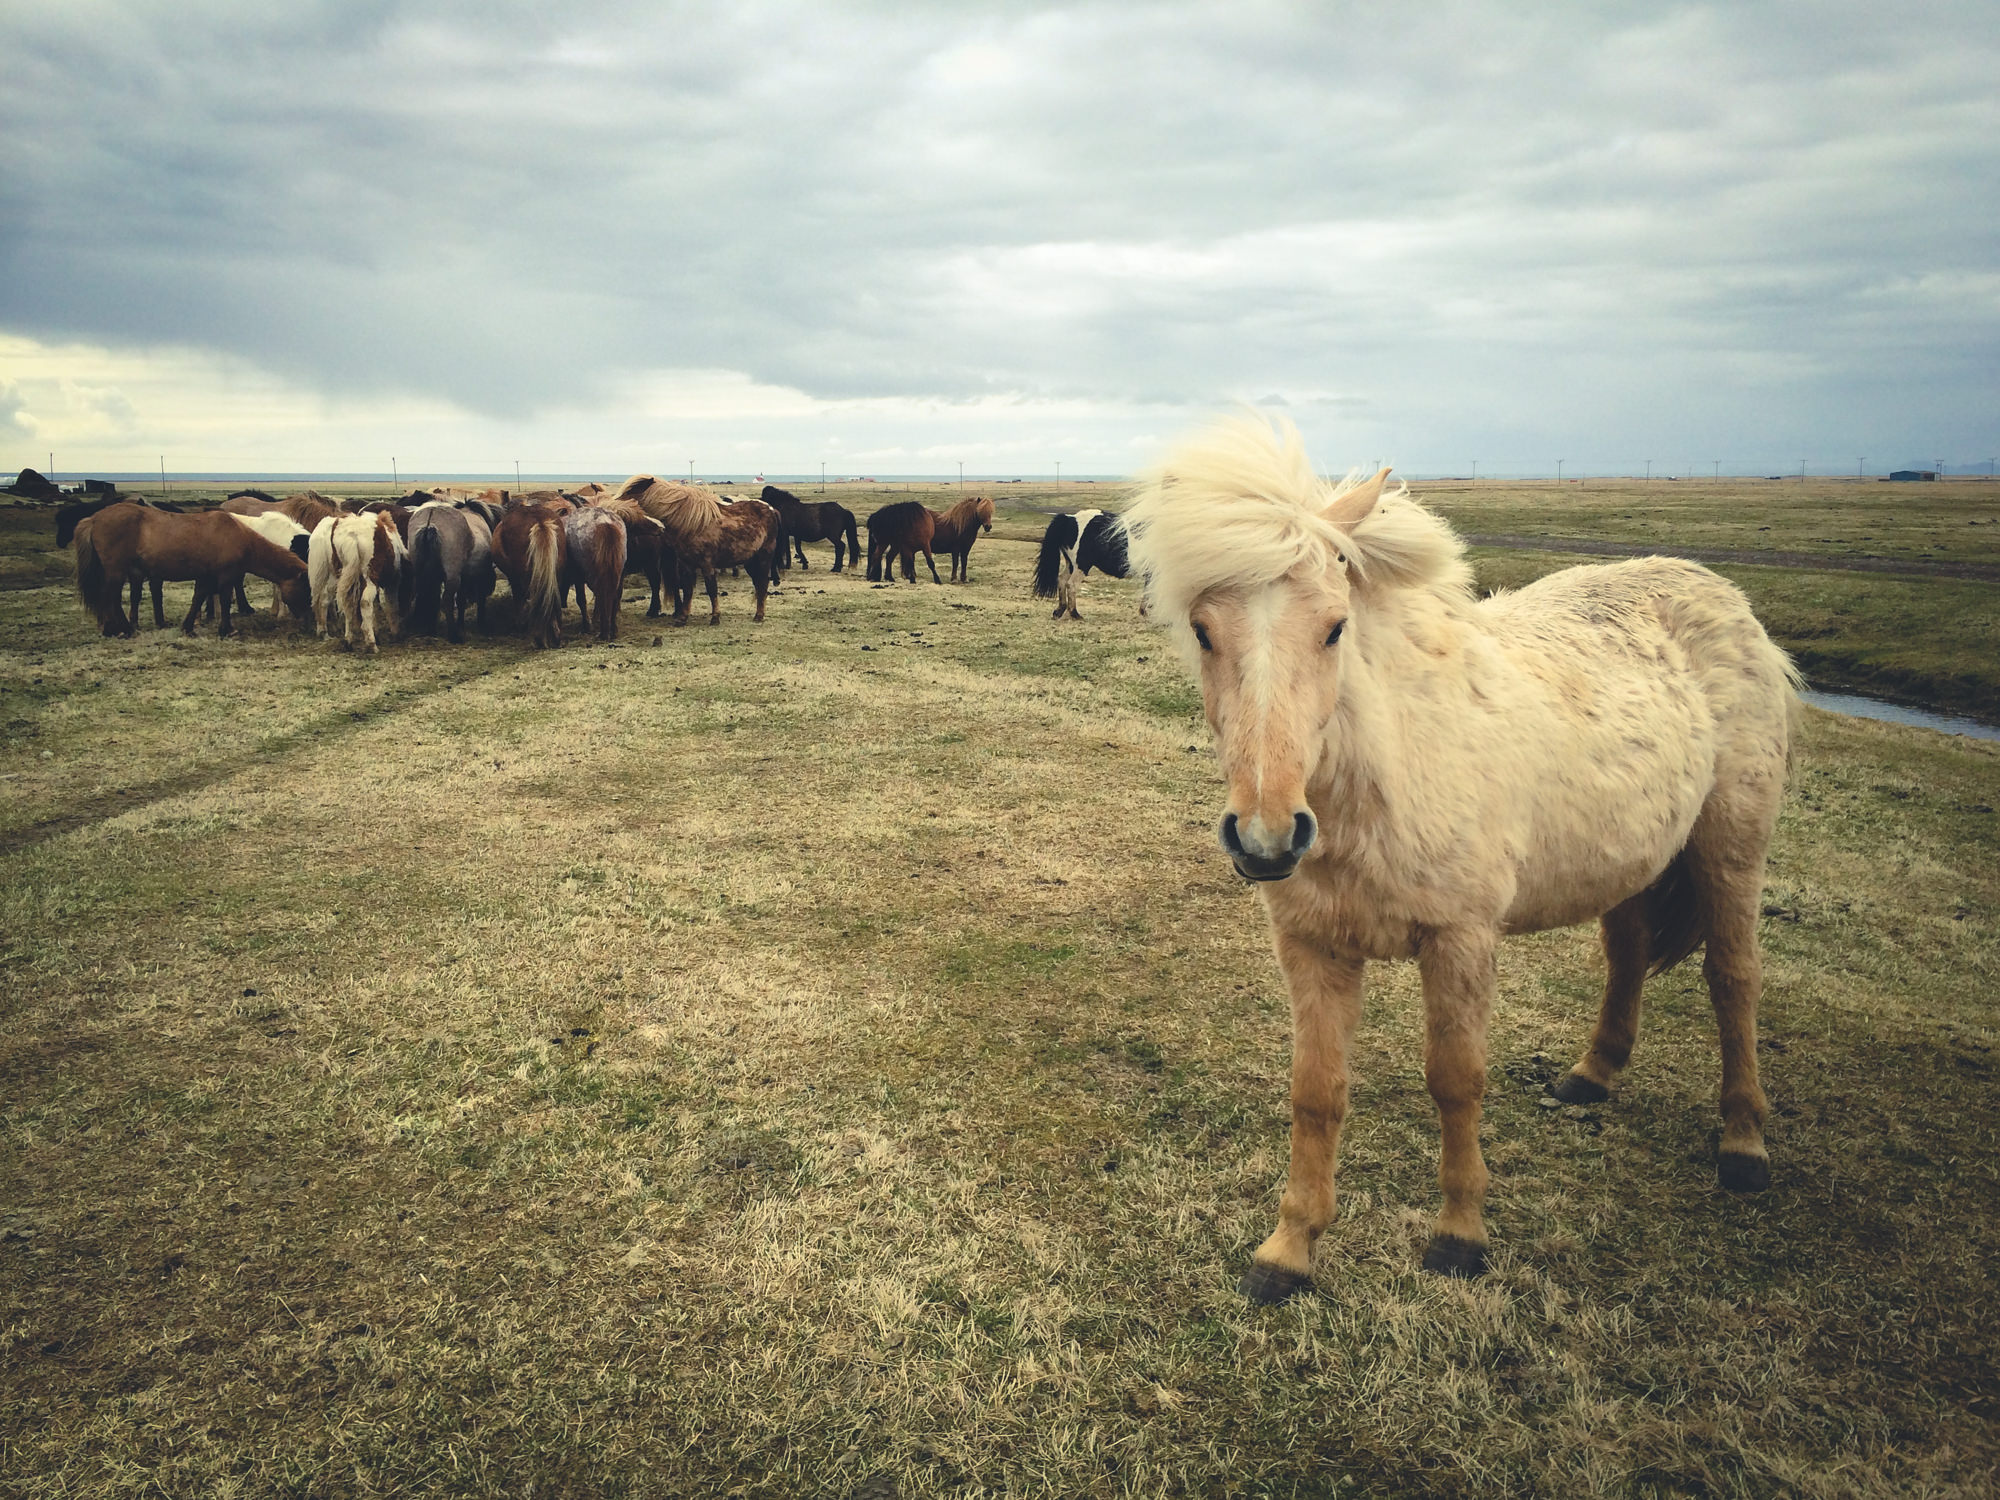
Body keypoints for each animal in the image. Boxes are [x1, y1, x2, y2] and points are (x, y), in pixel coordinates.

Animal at [75, 503, 309, 638]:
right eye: (305, 588)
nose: (305, 617)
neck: (239, 535)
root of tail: (93, 519)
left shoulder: (206, 576)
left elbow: (198, 597)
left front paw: (188, 626)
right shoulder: (225, 576)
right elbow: (225, 600)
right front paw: (227, 629)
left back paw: (113, 628)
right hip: (117, 571)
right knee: (110, 598)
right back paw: (123, 629)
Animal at [402, 501, 496, 642]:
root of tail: (431, 515)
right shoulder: (474, 577)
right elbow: (474, 600)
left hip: (419, 573)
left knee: (419, 594)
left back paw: (426, 628)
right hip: (453, 577)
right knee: (447, 599)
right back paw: (453, 635)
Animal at [490, 501, 569, 646]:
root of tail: (539, 521)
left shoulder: (514, 579)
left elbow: (519, 599)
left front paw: (520, 625)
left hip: (525, 576)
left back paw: (539, 637)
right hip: (555, 572)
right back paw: (555, 635)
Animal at [611, 477, 778, 624]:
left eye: (630, 491)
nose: (613, 505)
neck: (692, 523)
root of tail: (771, 509)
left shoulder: (707, 565)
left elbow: (711, 589)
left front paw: (715, 617)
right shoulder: (686, 565)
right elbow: (687, 590)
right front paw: (682, 618)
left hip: (764, 557)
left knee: (763, 583)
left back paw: (759, 616)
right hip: (750, 561)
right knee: (758, 584)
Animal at [1123, 413, 1801, 1303]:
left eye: (1334, 627)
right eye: (1204, 632)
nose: (1268, 836)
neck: (1390, 769)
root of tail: (1723, 597)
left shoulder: (1460, 943)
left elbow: (1455, 1082)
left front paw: (1459, 1236)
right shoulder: (1314, 947)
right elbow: (1317, 1093)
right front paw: (1290, 1248)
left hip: (1729, 847)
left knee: (1734, 978)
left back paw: (1744, 1145)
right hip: (1632, 857)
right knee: (1627, 954)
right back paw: (1592, 1075)